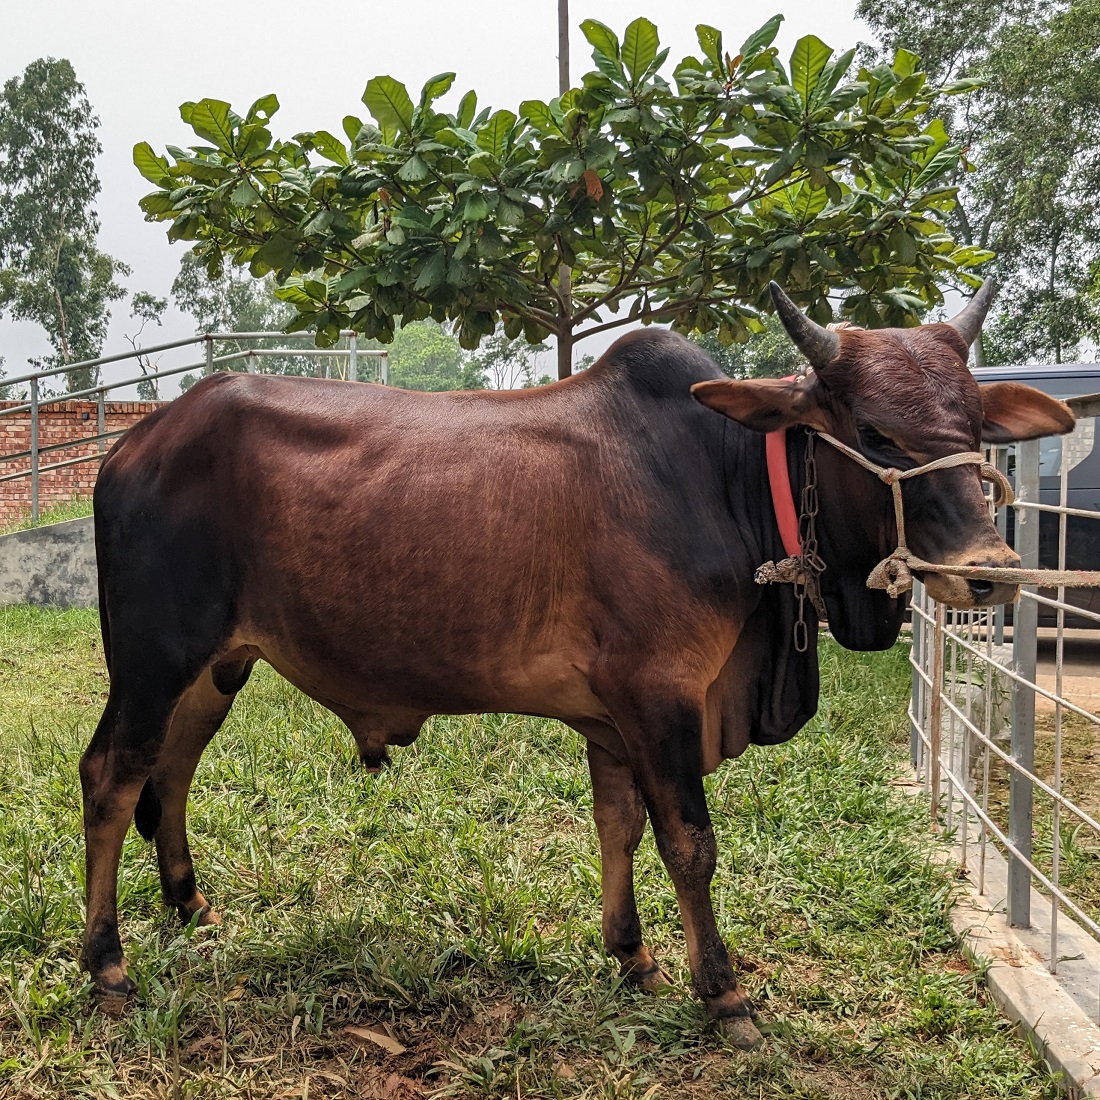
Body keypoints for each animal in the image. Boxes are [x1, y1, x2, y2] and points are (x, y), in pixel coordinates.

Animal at [79, 279, 1073, 1042]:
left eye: (974, 422)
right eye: (873, 431)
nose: (990, 570)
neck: (722, 481)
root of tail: (134, 442)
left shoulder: (612, 714)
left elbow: (618, 825)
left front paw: (632, 954)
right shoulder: (661, 696)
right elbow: (690, 843)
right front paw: (724, 995)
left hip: (216, 667)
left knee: (172, 769)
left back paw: (187, 903)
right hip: (153, 658)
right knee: (111, 777)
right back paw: (108, 965)